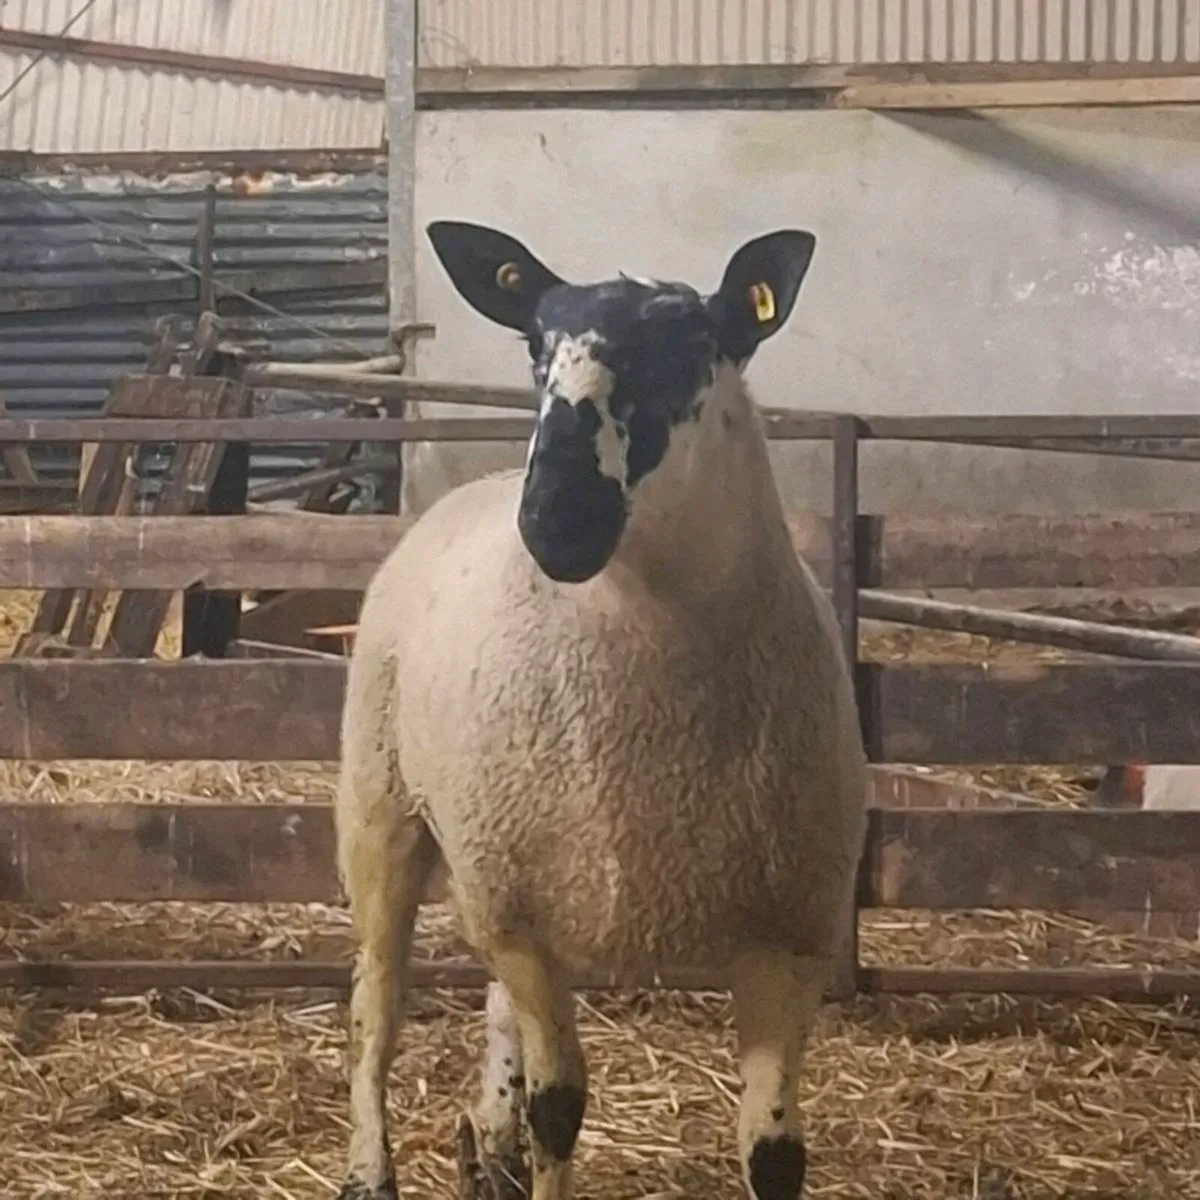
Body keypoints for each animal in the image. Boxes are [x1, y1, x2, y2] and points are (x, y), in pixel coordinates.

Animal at [333, 219, 868, 1200]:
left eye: (694, 347)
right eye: (535, 349)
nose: (555, 518)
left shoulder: (792, 933)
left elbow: (775, 1155)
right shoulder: (528, 926)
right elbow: (561, 1110)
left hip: (497, 857)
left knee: (491, 1011)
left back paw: (490, 1148)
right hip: (382, 809)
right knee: (375, 1009)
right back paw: (372, 1170)